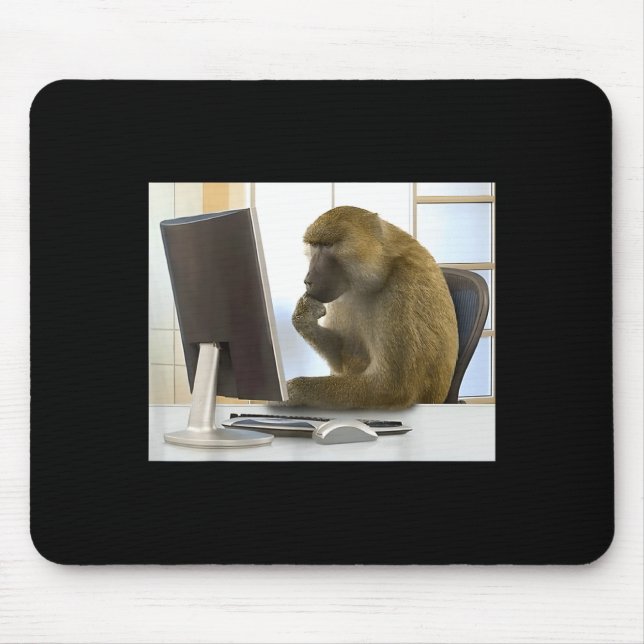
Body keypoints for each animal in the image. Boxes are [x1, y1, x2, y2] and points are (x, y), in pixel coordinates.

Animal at [286, 205, 458, 410]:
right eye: (314, 246)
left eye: (327, 246)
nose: (308, 281)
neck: (383, 267)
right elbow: (342, 358)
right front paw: (304, 317)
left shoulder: (403, 286)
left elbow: (392, 387)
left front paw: (291, 392)